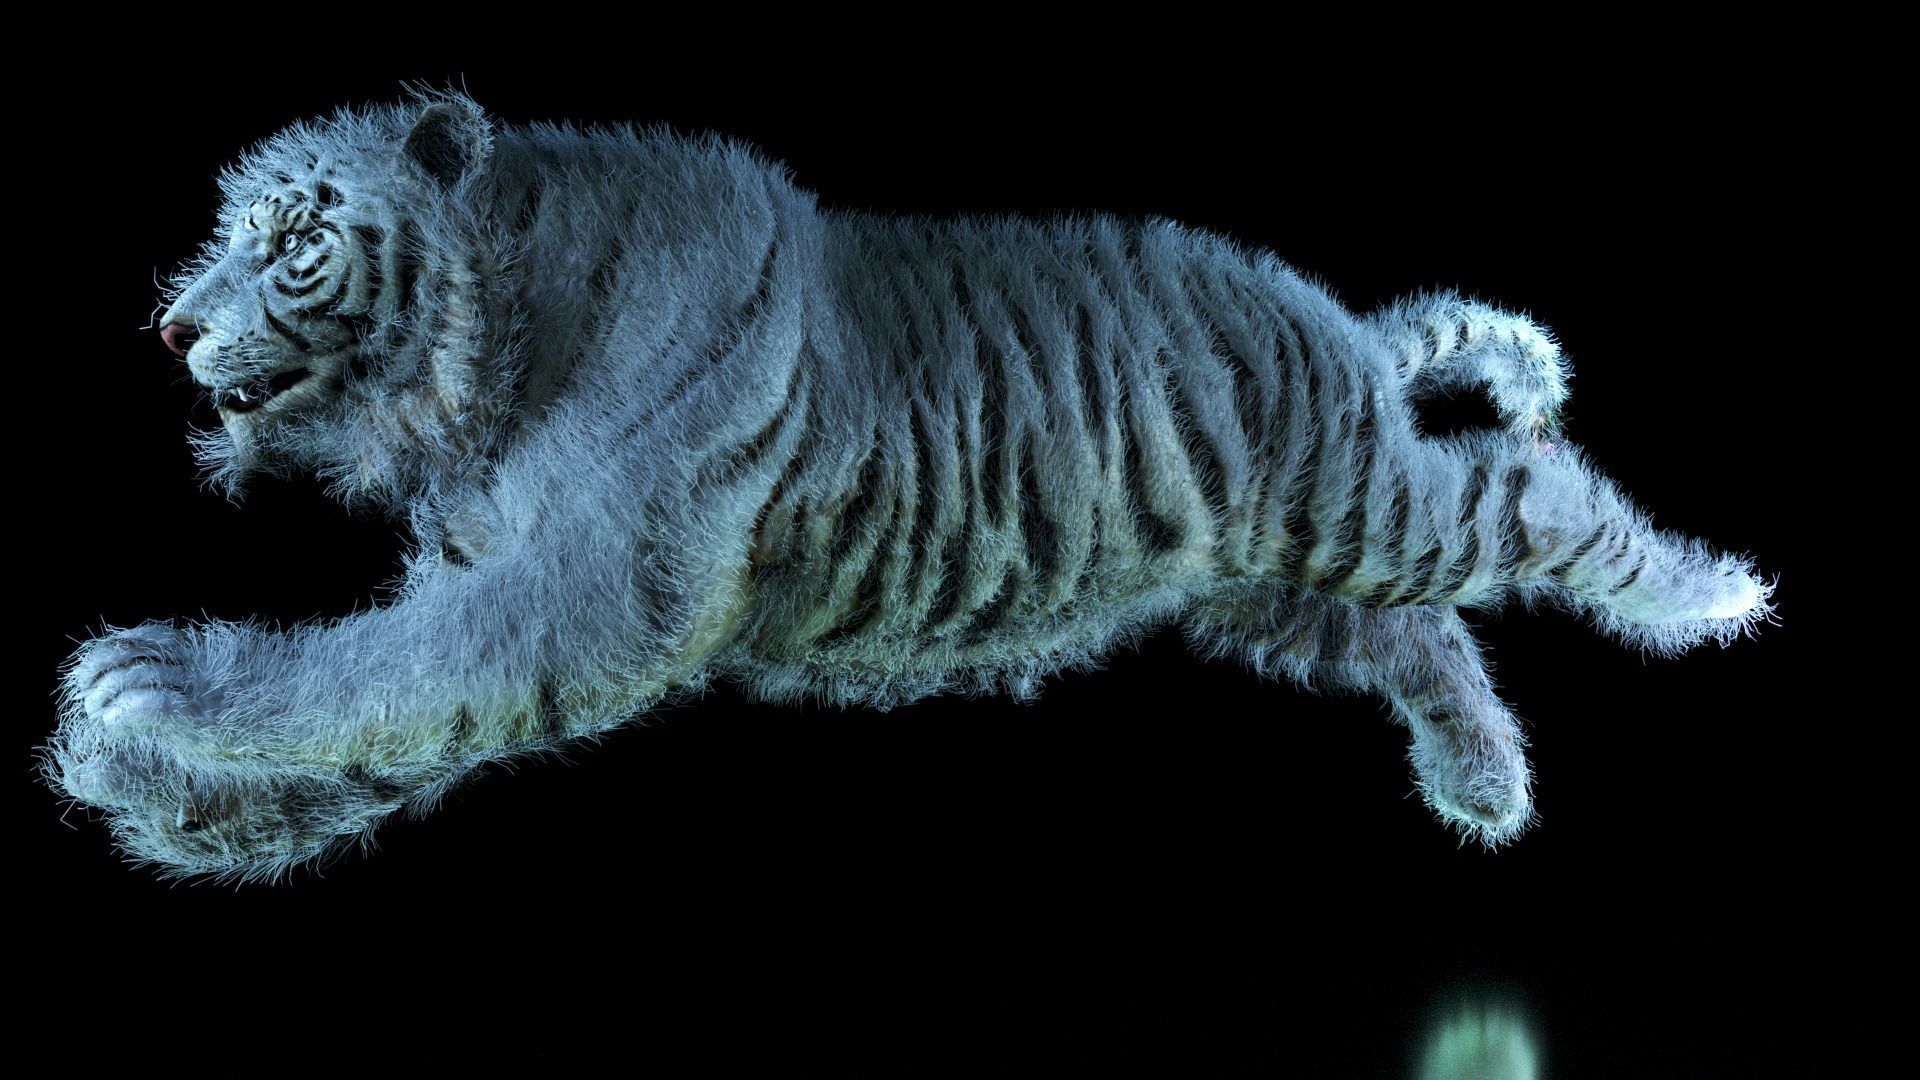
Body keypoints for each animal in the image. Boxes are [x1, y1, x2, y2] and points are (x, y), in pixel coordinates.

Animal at [40, 89, 1778, 883]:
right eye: (222, 235)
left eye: (292, 241)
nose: (171, 324)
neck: (494, 350)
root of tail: (1330, 315)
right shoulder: (499, 586)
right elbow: (389, 715)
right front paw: (155, 791)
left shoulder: (584, 596)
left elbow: (368, 669)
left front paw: (150, 691)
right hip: (1266, 581)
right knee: (1420, 632)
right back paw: (1485, 786)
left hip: (1360, 501)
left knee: (1530, 489)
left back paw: (1718, 592)